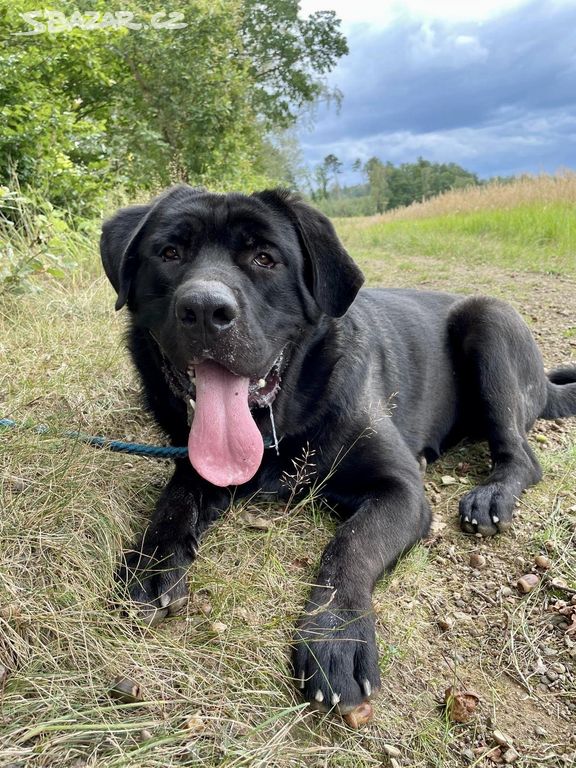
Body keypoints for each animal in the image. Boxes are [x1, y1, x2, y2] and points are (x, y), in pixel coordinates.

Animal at [101, 184, 576, 712]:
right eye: (169, 253)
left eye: (265, 258)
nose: (205, 309)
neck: (282, 425)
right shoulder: (197, 463)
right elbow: (176, 499)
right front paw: (153, 561)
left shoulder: (401, 490)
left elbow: (351, 544)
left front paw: (337, 635)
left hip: (488, 323)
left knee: (522, 457)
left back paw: (491, 495)